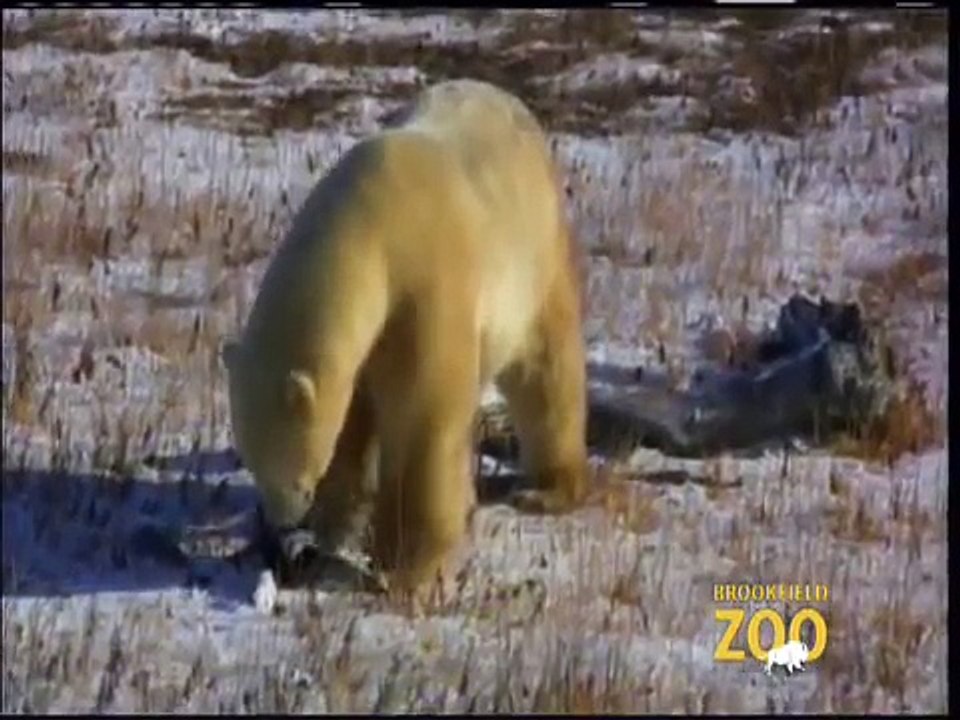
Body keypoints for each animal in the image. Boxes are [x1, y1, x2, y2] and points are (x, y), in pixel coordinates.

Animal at [222, 79, 589, 594]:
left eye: (295, 477)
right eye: (252, 461)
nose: (284, 524)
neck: (369, 228)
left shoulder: (426, 283)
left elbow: (422, 414)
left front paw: (407, 568)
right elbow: (353, 420)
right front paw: (335, 526)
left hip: (533, 254)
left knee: (545, 369)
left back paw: (547, 489)